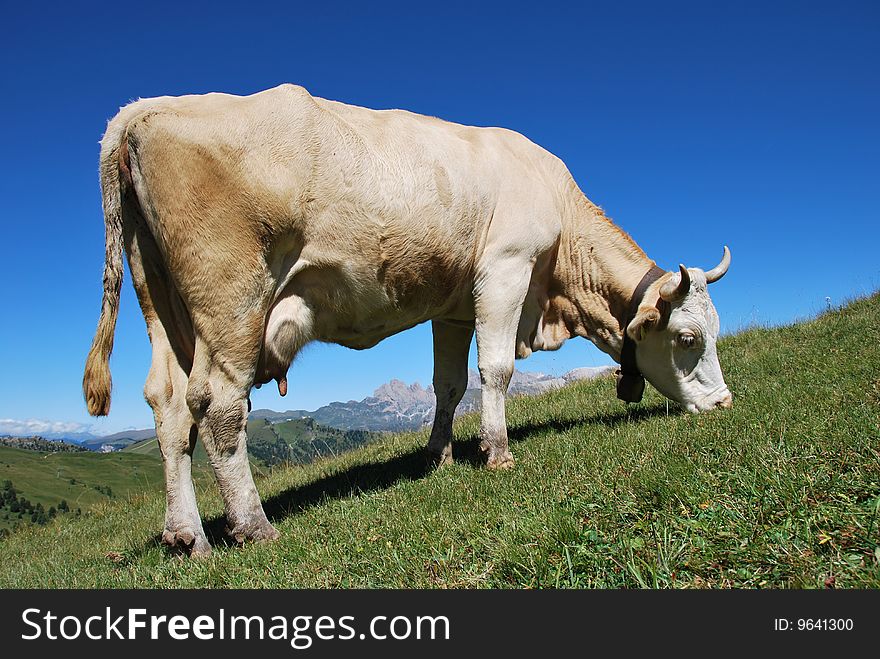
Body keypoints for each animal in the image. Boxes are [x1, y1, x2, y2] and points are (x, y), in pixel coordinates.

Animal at [82, 84, 732, 556]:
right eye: (688, 337)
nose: (725, 404)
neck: (554, 296)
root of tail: (140, 111)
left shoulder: (455, 307)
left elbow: (449, 384)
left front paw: (438, 456)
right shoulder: (506, 269)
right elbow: (496, 370)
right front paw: (497, 453)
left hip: (162, 304)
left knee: (168, 406)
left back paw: (187, 535)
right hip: (230, 298)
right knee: (217, 406)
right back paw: (253, 526)